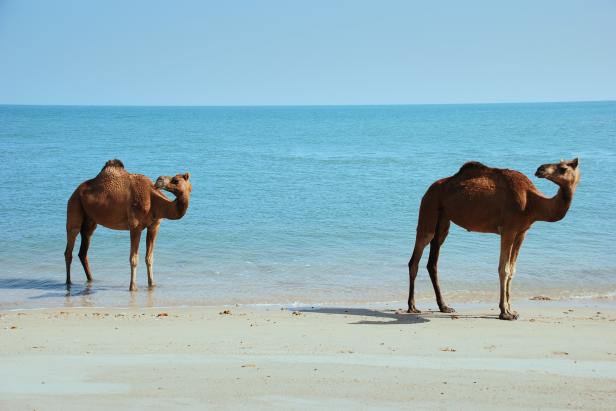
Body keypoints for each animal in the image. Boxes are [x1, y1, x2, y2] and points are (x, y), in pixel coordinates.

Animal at [63, 159, 190, 292]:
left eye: (175, 180)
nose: (159, 179)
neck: (153, 201)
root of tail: (76, 191)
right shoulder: (135, 226)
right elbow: (133, 258)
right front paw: (133, 287)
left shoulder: (154, 226)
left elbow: (149, 258)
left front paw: (152, 284)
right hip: (74, 206)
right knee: (69, 248)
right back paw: (68, 282)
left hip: (90, 221)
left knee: (83, 251)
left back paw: (91, 280)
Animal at [406, 158, 580, 322]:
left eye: (563, 168)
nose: (540, 169)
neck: (531, 202)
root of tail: (429, 188)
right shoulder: (508, 230)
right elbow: (504, 269)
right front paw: (505, 312)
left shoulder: (521, 232)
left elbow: (512, 270)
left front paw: (512, 310)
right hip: (429, 207)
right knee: (416, 257)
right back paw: (412, 307)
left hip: (443, 219)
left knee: (433, 261)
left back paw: (444, 307)